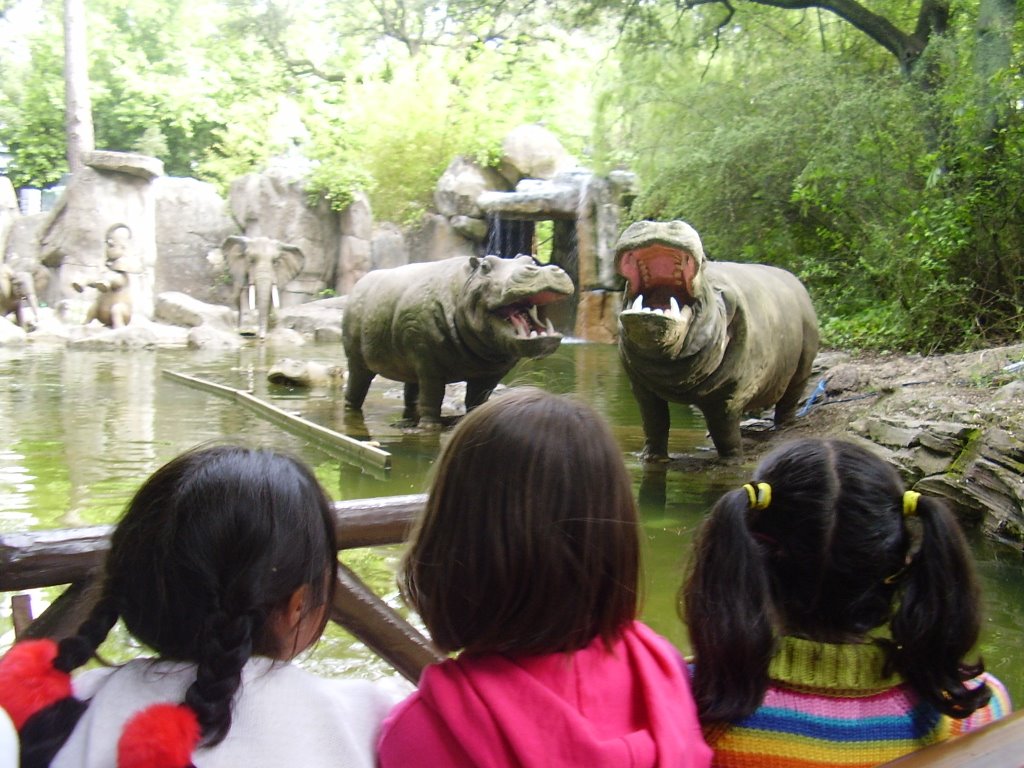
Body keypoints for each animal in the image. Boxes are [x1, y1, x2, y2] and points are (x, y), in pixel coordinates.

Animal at [342, 257, 573, 428]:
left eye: (530, 259)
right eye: (485, 266)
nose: (543, 270)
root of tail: (358, 284)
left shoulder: (490, 372)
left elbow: (477, 399)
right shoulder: (429, 363)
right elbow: (433, 395)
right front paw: (430, 427)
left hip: (409, 363)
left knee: (411, 390)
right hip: (357, 359)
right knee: (358, 385)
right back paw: (351, 409)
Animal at [610, 219, 819, 460]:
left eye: (705, 260)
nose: (660, 224)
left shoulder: (733, 393)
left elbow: (724, 428)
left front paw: (731, 459)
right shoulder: (641, 389)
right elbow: (654, 422)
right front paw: (651, 457)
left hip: (803, 366)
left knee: (789, 400)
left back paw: (784, 427)